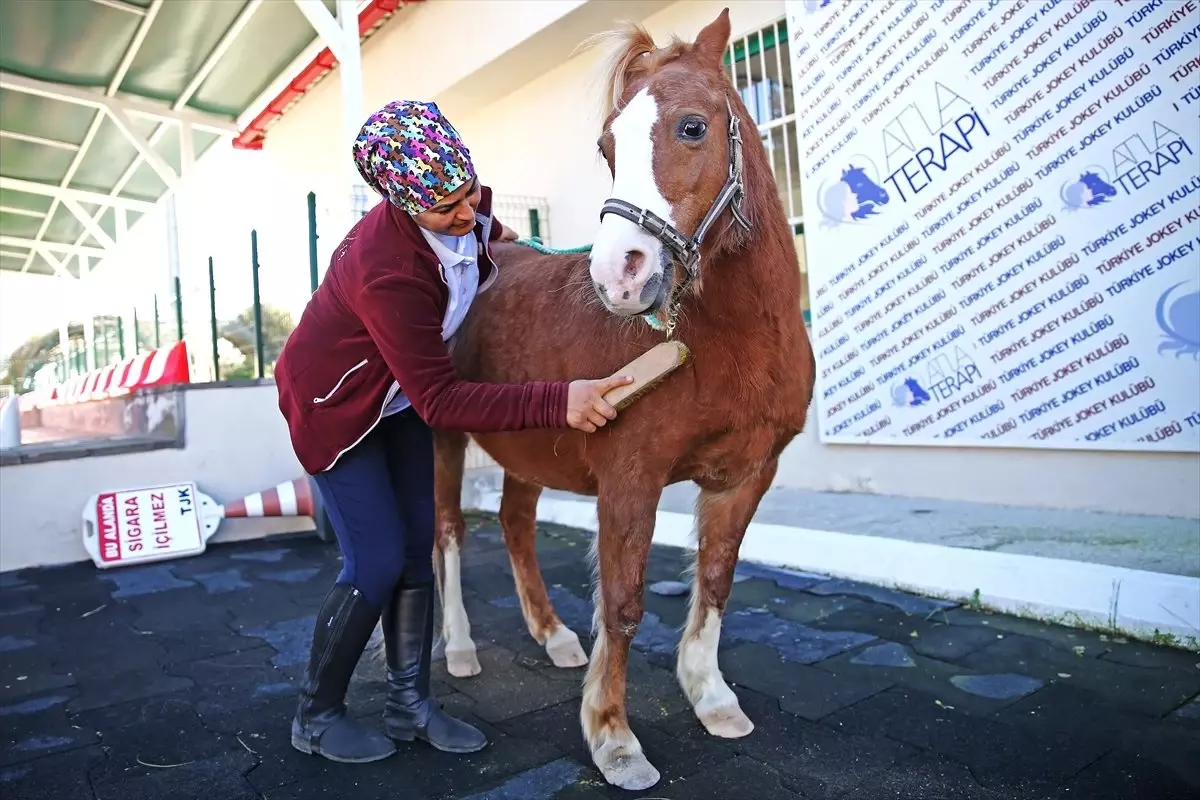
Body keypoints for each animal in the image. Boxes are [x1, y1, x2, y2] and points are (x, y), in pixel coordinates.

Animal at [427, 9, 811, 791]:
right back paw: (459, 648)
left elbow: (717, 580)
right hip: (447, 439)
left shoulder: (747, 475)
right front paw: (613, 738)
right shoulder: (630, 478)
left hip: (528, 447)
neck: (729, 338)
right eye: (607, 146)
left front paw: (710, 696)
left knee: (515, 524)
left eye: (693, 127)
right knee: (449, 532)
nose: (620, 277)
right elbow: (625, 602)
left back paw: (553, 636)